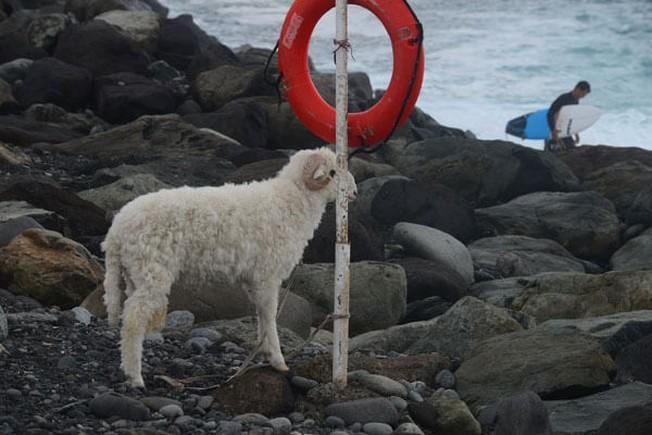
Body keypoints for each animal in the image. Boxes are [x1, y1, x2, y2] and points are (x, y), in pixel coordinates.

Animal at [102, 146, 356, 388]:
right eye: (332, 173)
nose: (354, 192)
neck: (292, 199)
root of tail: (116, 232)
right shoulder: (267, 275)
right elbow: (269, 316)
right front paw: (278, 360)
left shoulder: (255, 280)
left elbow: (261, 315)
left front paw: (264, 353)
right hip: (152, 269)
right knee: (134, 319)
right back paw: (135, 377)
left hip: (135, 273)